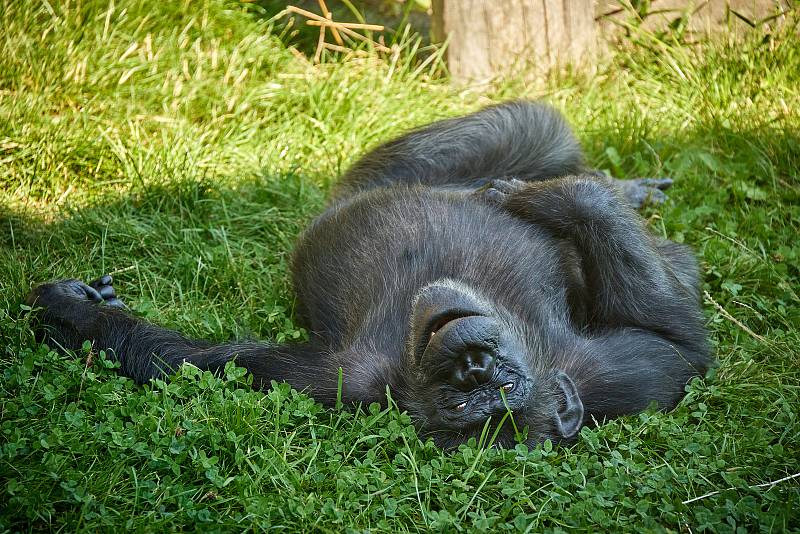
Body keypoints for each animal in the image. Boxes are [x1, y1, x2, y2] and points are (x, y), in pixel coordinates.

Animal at [26, 100, 712, 448]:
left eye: (497, 392)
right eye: (464, 397)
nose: (476, 367)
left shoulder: (627, 376)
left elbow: (682, 346)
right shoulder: (333, 381)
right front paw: (73, 308)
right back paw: (615, 189)